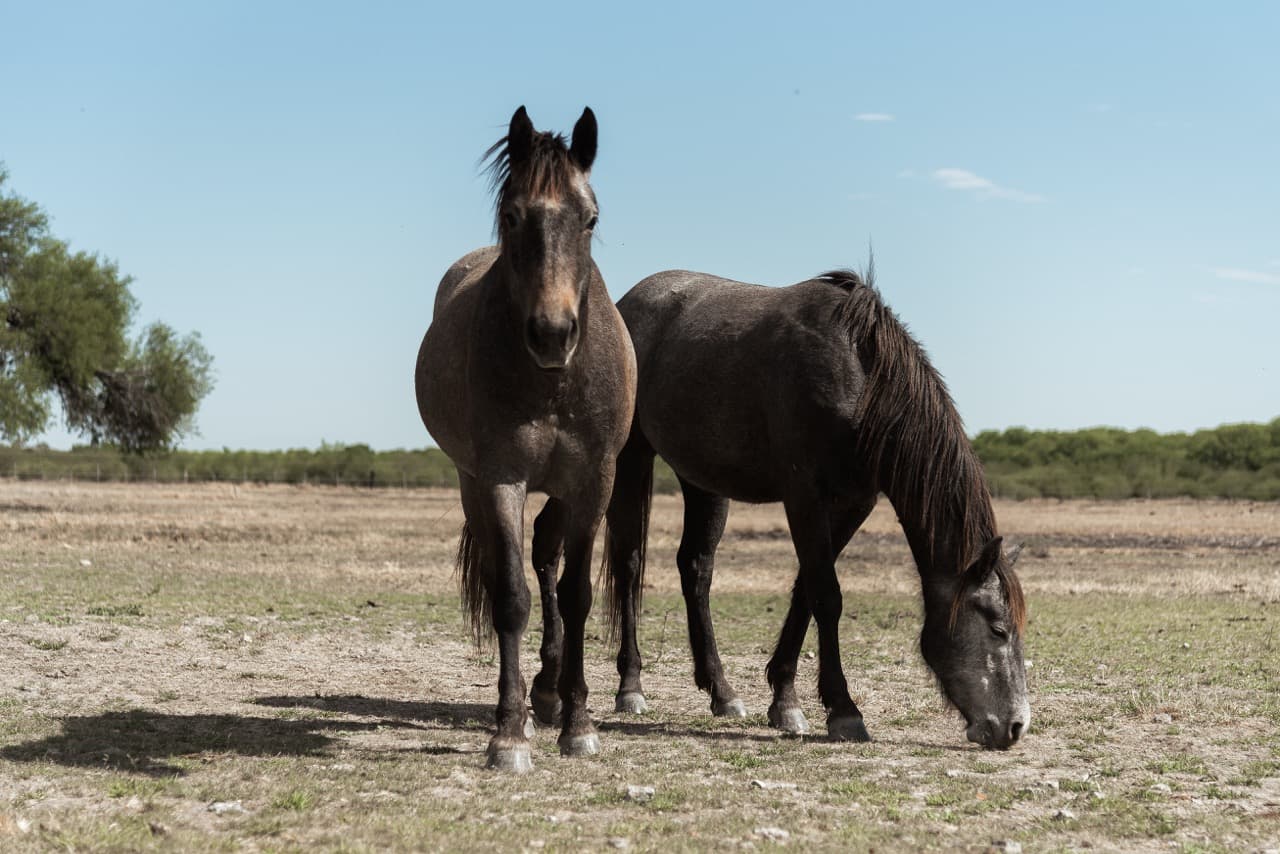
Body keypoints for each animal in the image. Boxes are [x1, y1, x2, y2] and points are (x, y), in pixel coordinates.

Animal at [415, 106, 636, 771]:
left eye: (591, 218)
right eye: (513, 215)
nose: (552, 333)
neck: (553, 383)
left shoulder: (593, 482)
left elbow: (577, 594)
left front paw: (580, 723)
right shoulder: (502, 478)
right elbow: (512, 596)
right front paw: (508, 734)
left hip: (561, 490)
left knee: (548, 557)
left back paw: (552, 694)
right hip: (471, 484)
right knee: (507, 570)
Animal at [602, 268, 1029, 749]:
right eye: (998, 628)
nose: (1015, 726)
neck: (861, 379)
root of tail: (630, 300)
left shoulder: (854, 504)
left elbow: (806, 589)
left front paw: (784, 699)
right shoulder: (803, 496)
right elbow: (827, 596)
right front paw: (843, 710)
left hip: (703, 481)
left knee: (696, 568)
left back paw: (721, 692)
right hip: (632, 459)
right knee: (629, 565)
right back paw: (631, 687)